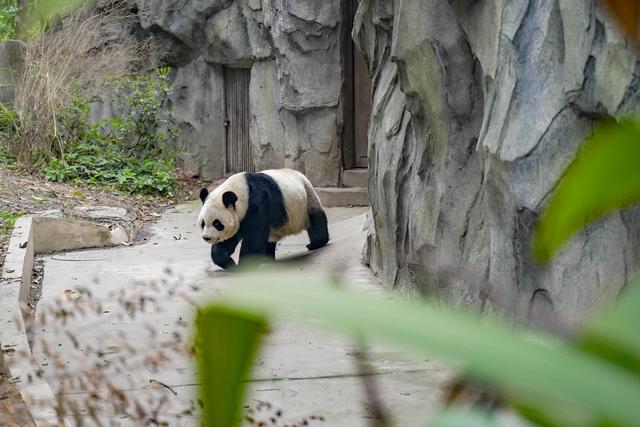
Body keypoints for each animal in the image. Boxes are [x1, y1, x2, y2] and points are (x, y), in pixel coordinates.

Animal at [198, 168, 330, 270]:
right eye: (203, 223)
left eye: (217, 224)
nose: (206, 237)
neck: (242, 190)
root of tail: (300, 174)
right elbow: (228, 240)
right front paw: (230, 264)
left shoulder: (258, 203)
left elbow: (254, 236)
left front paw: (244, 266)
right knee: (269, 237)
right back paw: (267, 258)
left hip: (307, 197)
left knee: (316, 219)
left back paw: (315, 244)